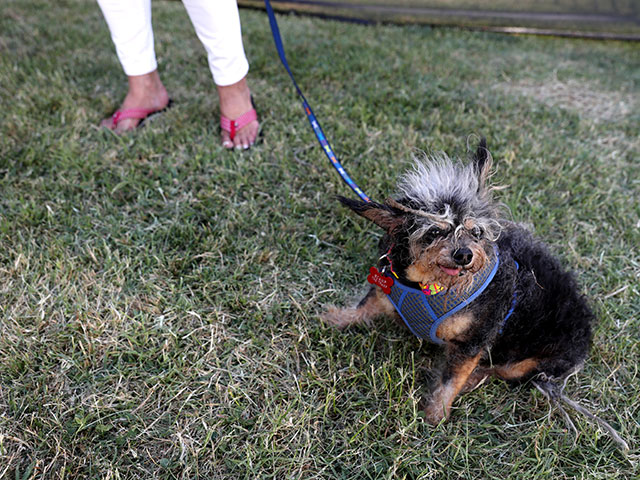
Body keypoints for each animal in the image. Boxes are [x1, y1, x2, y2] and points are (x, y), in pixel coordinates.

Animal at [324, 139, 624, 450]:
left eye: (476, 231)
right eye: (434, 232)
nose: (464, 254)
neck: (425, 285)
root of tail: (586, 327)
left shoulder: (474, 340)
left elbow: (451, 380)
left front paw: (436, 415)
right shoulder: (386, 288)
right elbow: (364, 305)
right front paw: (337, 318)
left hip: (530, 361)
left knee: (502, 372)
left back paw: (476, 377)